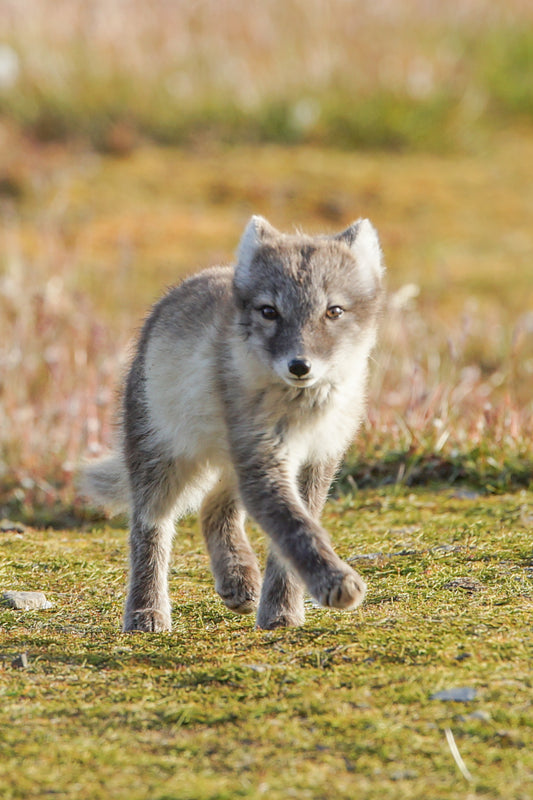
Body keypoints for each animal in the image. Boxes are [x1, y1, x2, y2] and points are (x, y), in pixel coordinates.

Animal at [81, 215, 385, 632]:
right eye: (269, 311)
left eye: (334, 311)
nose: (299, 366)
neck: (300, 410)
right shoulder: (262, 459)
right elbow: (295, 527)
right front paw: (333, 581)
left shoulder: (318, 457)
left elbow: (295, 531)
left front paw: (281, 611)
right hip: (162, 459)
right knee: (149, 528)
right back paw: (146, 612)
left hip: (229, 462)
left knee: (213, 509)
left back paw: (238, 580)